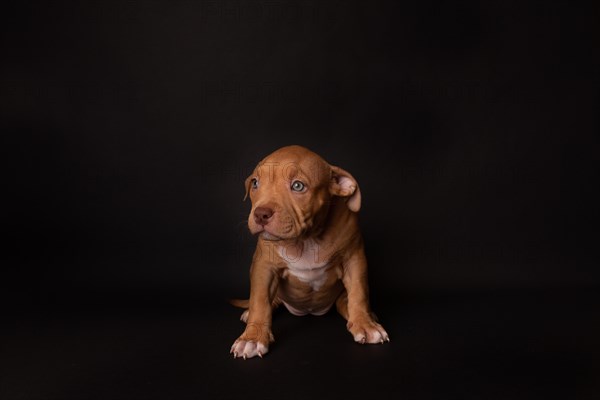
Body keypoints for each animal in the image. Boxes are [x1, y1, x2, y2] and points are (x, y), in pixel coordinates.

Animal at [230, 146, 390, 360]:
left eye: (298, 186)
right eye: (255, 183)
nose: (260, 214)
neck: (306, 239)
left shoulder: (354, 259)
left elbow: (359, 293)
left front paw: (365, 325)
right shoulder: (263, 267)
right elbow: (260, 301)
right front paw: (252, 338)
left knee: (346, 301)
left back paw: (364, 317)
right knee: (272, 301)